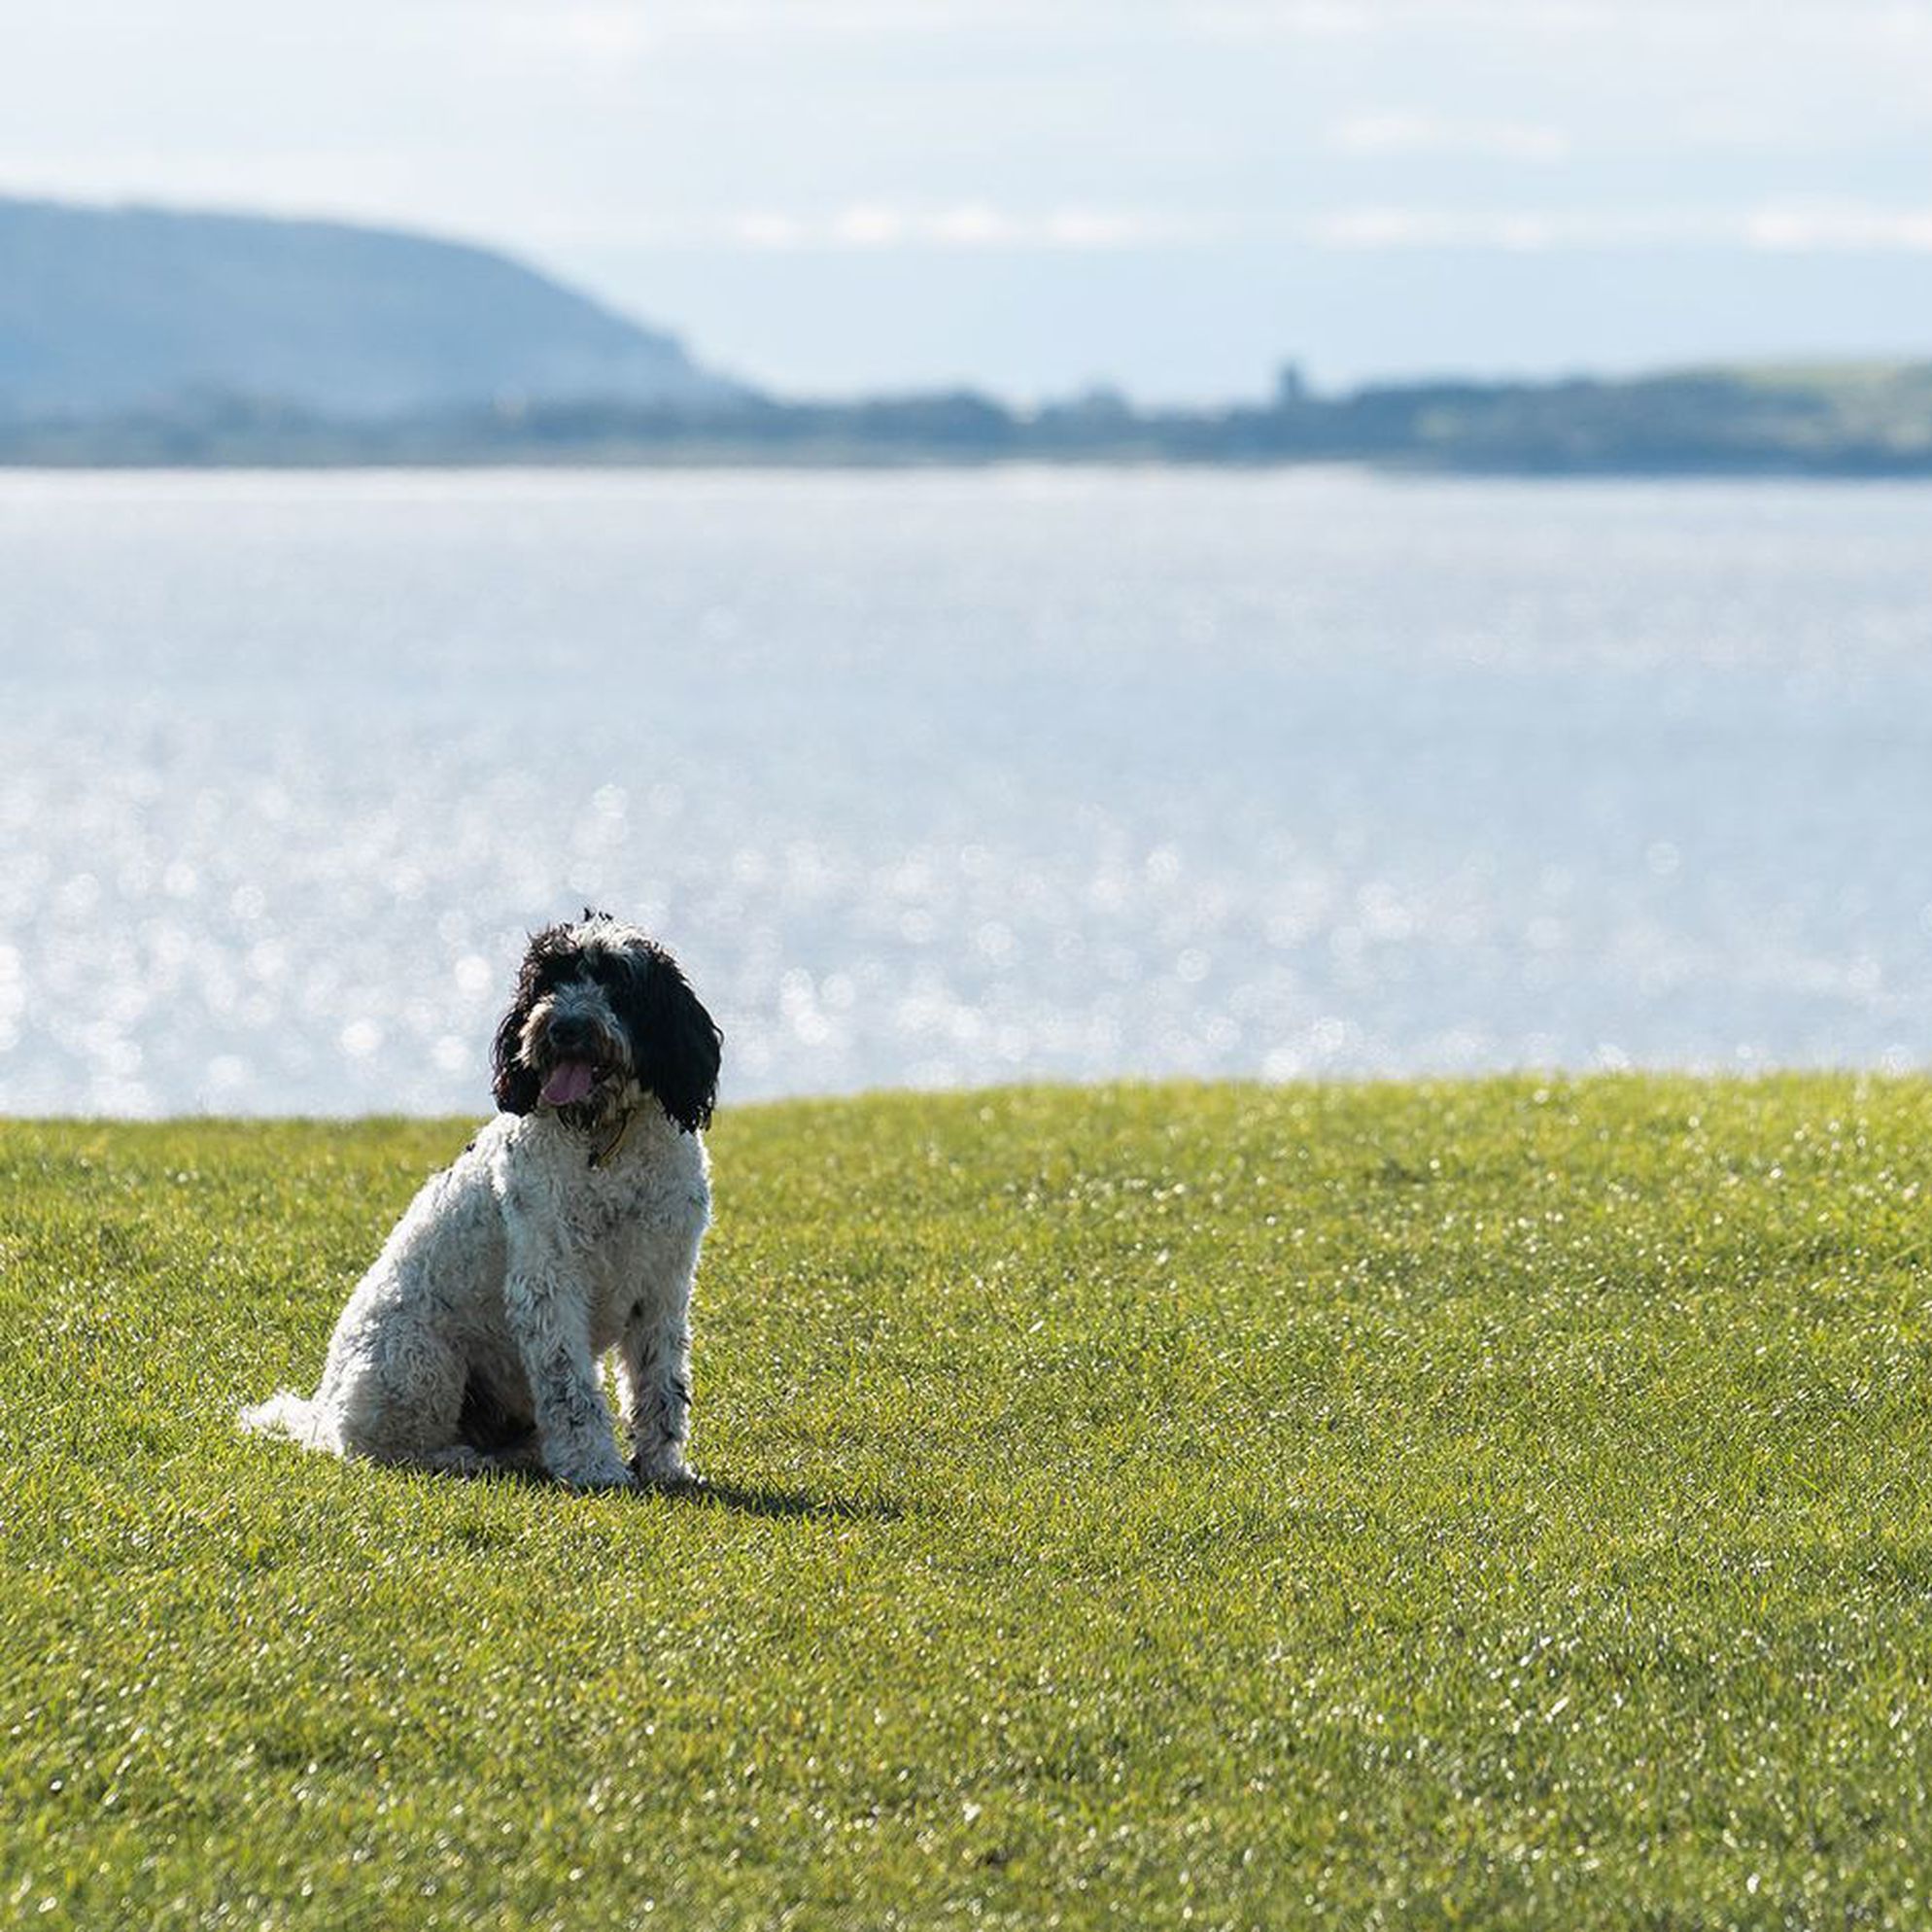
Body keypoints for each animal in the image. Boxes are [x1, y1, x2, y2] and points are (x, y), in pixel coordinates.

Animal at [243, 912, 726, 1483]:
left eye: (619, 984)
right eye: (548, 982)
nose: (563, 1027)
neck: (605, 1140)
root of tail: (322, 1411)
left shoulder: (662, 1288)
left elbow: (661, 1386)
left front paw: (663, 1467)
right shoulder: (547, 1282)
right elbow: (571, 1389)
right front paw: (594, 1467)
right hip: (417, 1359)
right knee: (377, 1446)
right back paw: (459, 1458)